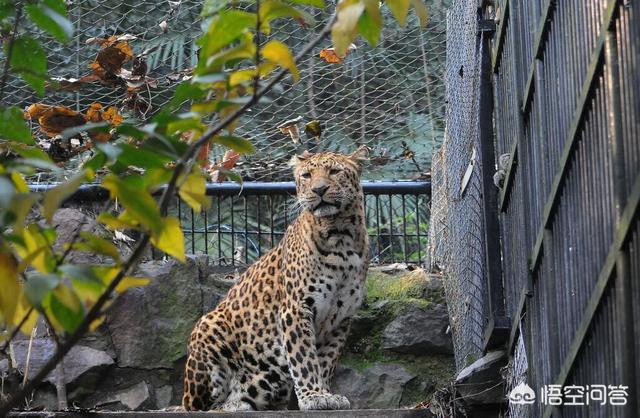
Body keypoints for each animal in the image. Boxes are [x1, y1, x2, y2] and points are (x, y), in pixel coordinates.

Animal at [180, 148, 370, 412]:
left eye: (334, 171)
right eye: (307, 175)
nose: (319, 190)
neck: (340, 236)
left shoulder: (340, 319)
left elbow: (325, 361)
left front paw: (326, 394)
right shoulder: (296, 309)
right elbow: (304, 359)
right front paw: (313, 396)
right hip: (206, 329)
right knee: (198, 406)